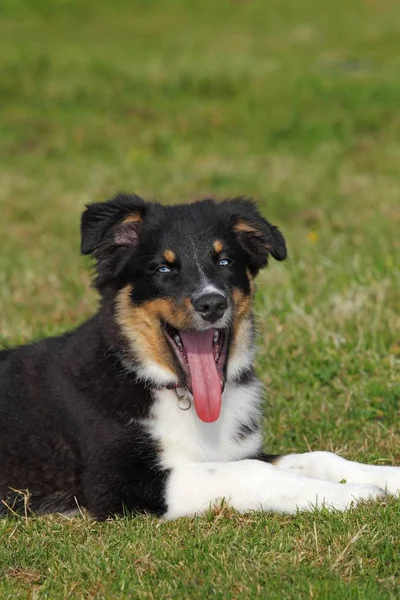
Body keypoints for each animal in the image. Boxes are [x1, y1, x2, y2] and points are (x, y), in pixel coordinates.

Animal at [0, 193, 400, 520]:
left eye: (225, 261)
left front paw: (385, 477)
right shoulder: (119, 484)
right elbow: (256, 472)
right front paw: (354, 495)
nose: (212, 304)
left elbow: (317, 457)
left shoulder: (236, 451)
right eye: (163, 268)